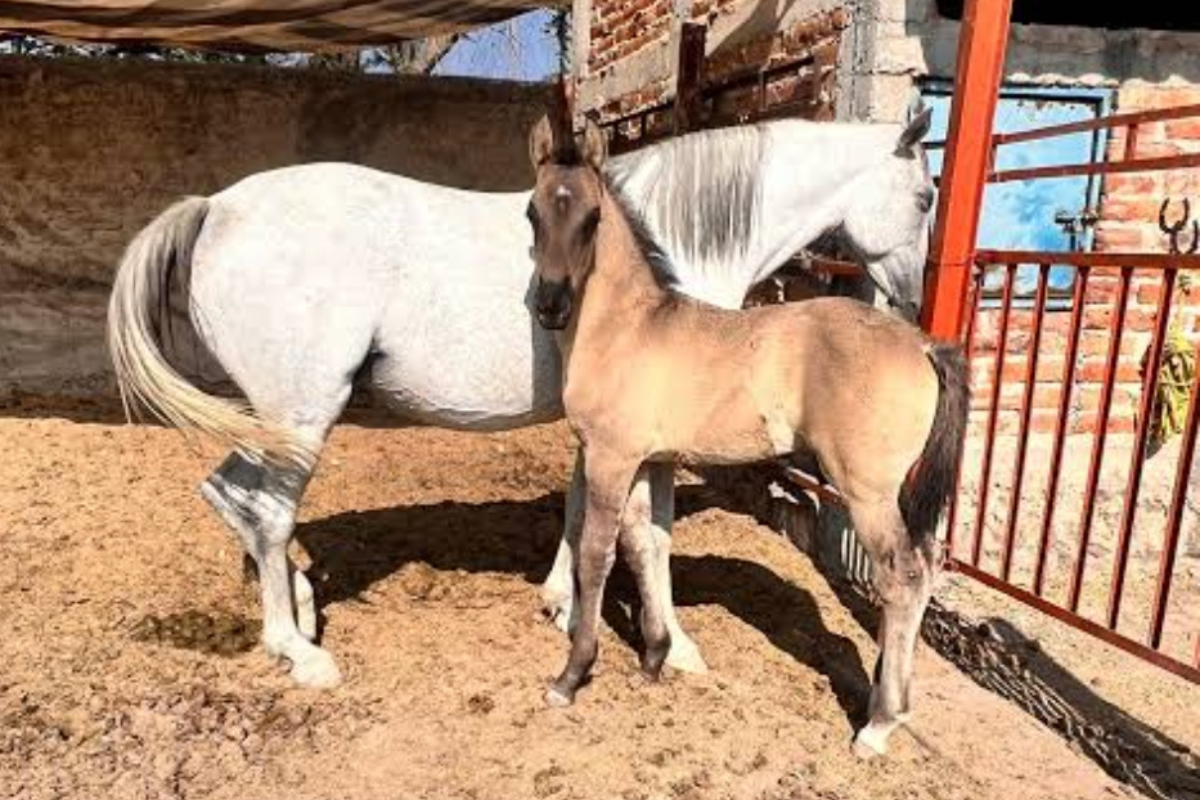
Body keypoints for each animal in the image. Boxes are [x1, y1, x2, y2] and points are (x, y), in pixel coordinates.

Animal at [106, 103, 936, 689]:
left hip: (275, 421)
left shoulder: (605, 433)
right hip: (302, 416)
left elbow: (579, 515)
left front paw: (562, 603)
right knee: (268, 513)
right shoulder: (648, 441)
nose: (914, 299)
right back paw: (299, 651)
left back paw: (300, 607)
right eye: (927, 196)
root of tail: (216, 206)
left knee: (232, 498)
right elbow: (650, 535)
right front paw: (674, 647)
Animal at [524, 114, 967, 759]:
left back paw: (878, 726)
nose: (550, 306)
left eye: (592, 217)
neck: (628, 327)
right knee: (927, 566)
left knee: (904, 577)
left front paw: (572, 673)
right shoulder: (650, 459)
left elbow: (596, 551)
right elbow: (646, 541)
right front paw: (655, 657)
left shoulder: (610, 455)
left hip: (866, 489)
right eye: (531, 212)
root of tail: (925, 344)